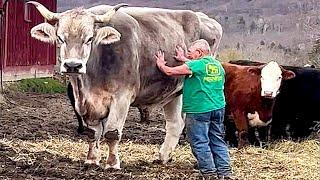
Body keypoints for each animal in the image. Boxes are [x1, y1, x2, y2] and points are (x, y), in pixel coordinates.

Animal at [27, 1, 222, 169]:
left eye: (89, 38)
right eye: (60, 38)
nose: (73, 65)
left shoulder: (122, 97)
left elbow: (112, 133)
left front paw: (112, 164)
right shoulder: (86, 103)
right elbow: (92, 133)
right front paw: (91, 160)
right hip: (172, 93)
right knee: (175, 124)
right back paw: (163, 157)